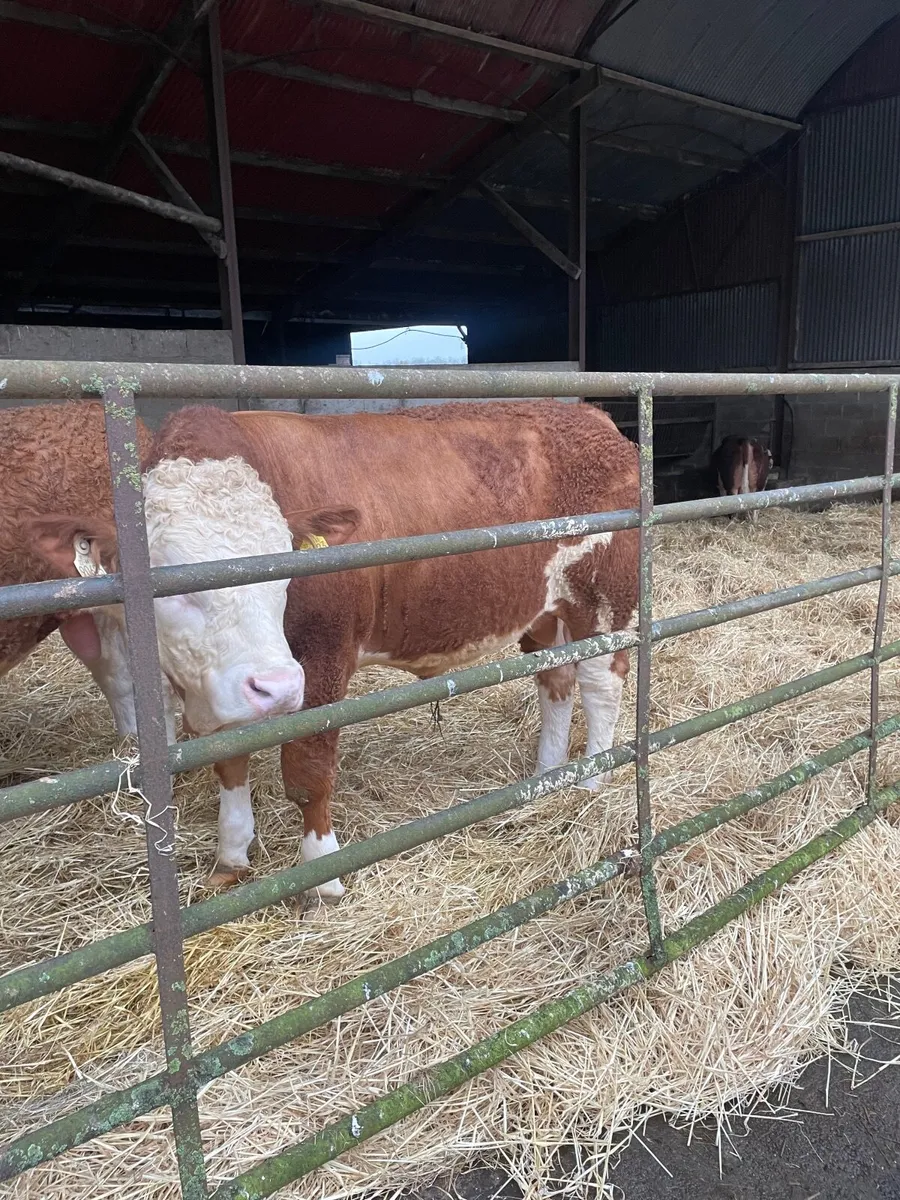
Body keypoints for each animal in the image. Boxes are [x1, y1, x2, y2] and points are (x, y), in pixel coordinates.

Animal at [27, 400, 639, 900]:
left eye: (281, 569)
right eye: (171, 585)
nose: (275, 685)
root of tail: (593, 417)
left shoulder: (321, 659)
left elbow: (308, 770)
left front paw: (322, 873)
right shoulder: (215, 686)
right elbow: (228, 761)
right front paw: (230, 858)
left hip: (602, 598)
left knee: (600, 684)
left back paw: (592, 781)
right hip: (544, 611)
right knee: (556, 682)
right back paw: (547, 775)